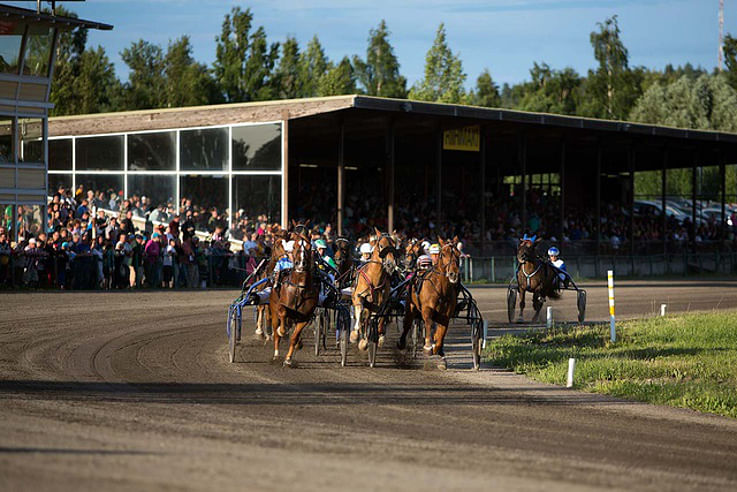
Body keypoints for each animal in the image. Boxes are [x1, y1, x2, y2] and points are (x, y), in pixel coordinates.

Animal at [268, 234, 318, 366]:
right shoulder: (281, 306)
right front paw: (282, 331)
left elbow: (294, 337)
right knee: (276, 331)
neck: (299, 289)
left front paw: (288, 359)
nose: (301, 264)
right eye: (294, 246)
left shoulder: (304, 317)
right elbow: (283, 313)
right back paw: (276, 354)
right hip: (273, 310)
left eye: (309, 246)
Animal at [396, 236, 460, 368]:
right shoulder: (427, 309)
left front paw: (438, 351)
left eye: (458, 254)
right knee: (407, 324)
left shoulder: (445, 315)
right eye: (443, 254)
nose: (453, 274)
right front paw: (427, 347)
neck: (441, 288)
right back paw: (402, 343)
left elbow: (441, 334)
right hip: (410, 307)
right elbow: (429, 323)